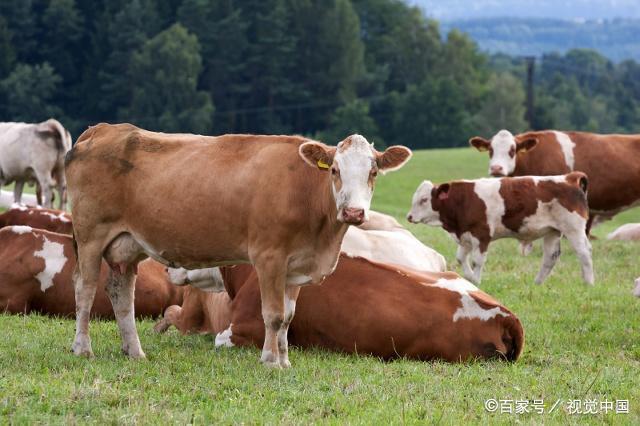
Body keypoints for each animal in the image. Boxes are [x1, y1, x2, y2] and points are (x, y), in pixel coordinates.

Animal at [65, 122, 412, 366]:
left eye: (373, 172)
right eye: (336, 171)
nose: (354, 212)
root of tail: (103, 129)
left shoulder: (295, 266)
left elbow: (288, 316)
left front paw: (284, 359)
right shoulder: (269, 258)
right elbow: (273, 314)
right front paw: (270, 360)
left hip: (126, 245)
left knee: (121, 293)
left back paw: (134, 350)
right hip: (90, 236)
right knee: (85, 288)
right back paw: (83, 347)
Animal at [408, 173, 592, 286]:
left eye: (424, 200)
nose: (409, 216)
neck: (463, 200)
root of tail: (569, 177)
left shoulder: (481, 235)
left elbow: (477, 261)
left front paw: (476, 281)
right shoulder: (465, 236)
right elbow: (460, 258)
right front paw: (469, 278)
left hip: (573, 229)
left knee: (584, 253)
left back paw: (589, 283)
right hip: (552, 232)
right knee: (550, 258)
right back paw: (537, 284)